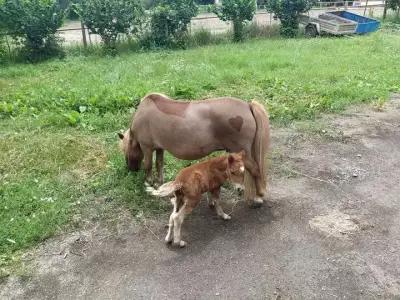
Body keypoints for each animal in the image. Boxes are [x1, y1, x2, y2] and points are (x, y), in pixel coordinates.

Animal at [118, 94, 268, 206]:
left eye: (125, 151)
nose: (131, 169)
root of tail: (247, 106)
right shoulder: (160, 148)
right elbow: (159, 164)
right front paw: (159, 184)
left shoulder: (147, 147)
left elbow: (148, 166)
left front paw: (148, 184)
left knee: (255, 170)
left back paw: (259, 196)